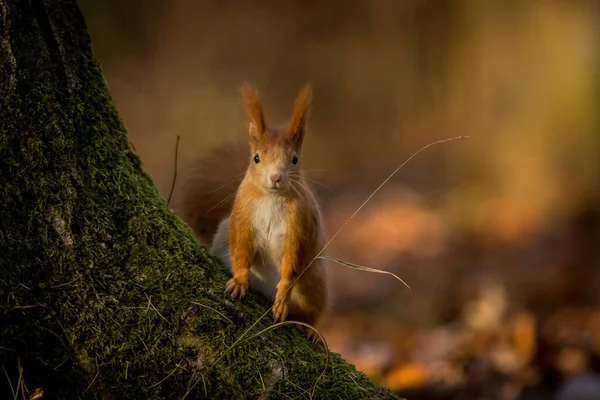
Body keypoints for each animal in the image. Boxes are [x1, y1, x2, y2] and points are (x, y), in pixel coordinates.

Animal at [178, 83, 328, 340]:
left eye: (295, 159)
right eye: (256, 158)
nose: (275, 177)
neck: (272, 198)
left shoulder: (300, 227)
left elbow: (292, 264)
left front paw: (282, 299)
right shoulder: (243, 217)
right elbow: (241, 250)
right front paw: (239, 281)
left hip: (314, 284)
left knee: (310, 312)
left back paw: (308, 328)